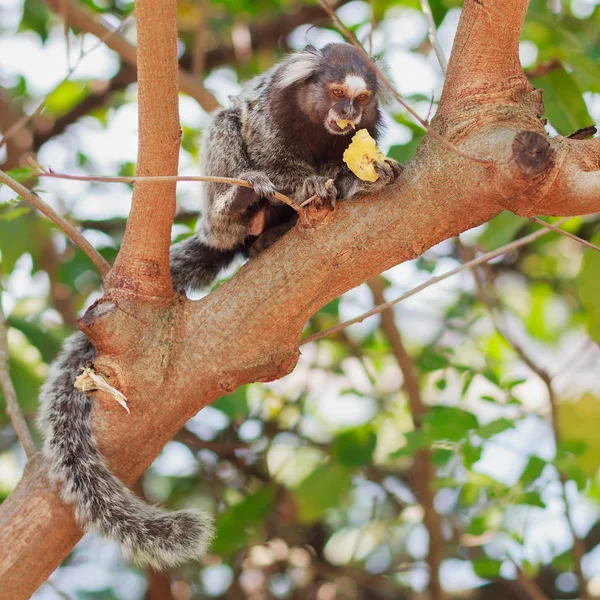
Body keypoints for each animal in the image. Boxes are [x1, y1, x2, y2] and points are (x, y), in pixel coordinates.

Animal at [37, 43, 404, 572]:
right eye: (336, 92)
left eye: (359, 100)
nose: (346, 114)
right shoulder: (269, 119)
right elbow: (267, 151)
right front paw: (308, 183)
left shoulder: (364, 132)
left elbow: (352, 163)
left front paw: (365, 178)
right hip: (217, 209)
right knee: (225, 128)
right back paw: (241, 207)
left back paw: (272, 233)